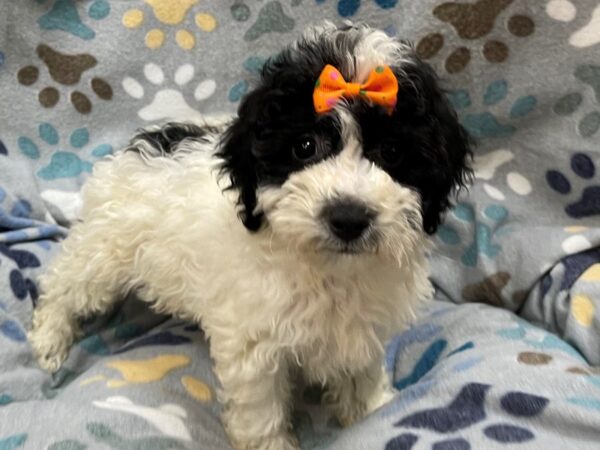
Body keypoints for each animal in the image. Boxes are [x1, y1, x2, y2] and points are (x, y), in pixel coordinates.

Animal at [28, 22, 472, 450]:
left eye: (393, 152)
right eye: (304, 146)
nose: (347, 217)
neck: (329, 268)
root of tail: (137, 145)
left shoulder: (362, 328)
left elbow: (362, 376)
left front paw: (375, 412)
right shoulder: (254, 342)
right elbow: (260, 406)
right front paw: (272, 444)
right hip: (107, 248)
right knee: (65, 284)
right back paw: (50, 336)